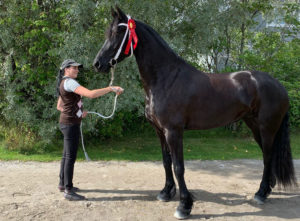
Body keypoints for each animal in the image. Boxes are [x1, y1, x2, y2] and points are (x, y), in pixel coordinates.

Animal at [95, 6, 296, 219]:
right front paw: (166, 193)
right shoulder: (159, 131)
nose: (97, 64)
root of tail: (280, 86)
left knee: (267, 157)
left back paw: (261, 193)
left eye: (118, 32)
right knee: (269, 156)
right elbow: (166, 161)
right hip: (255, 127)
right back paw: (267, 189)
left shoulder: (174, 131)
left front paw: (184, 205)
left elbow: (179, 167)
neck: (166, 78)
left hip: (267, 129)